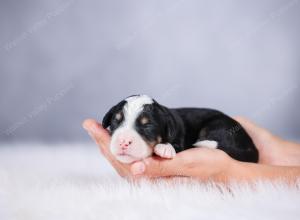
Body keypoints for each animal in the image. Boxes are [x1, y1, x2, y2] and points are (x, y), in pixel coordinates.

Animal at [102, 94, 258, 163]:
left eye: (148, 125)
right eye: (116, 121)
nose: (123, 142)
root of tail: (252, 147)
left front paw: (165, 147)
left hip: (218, 125)